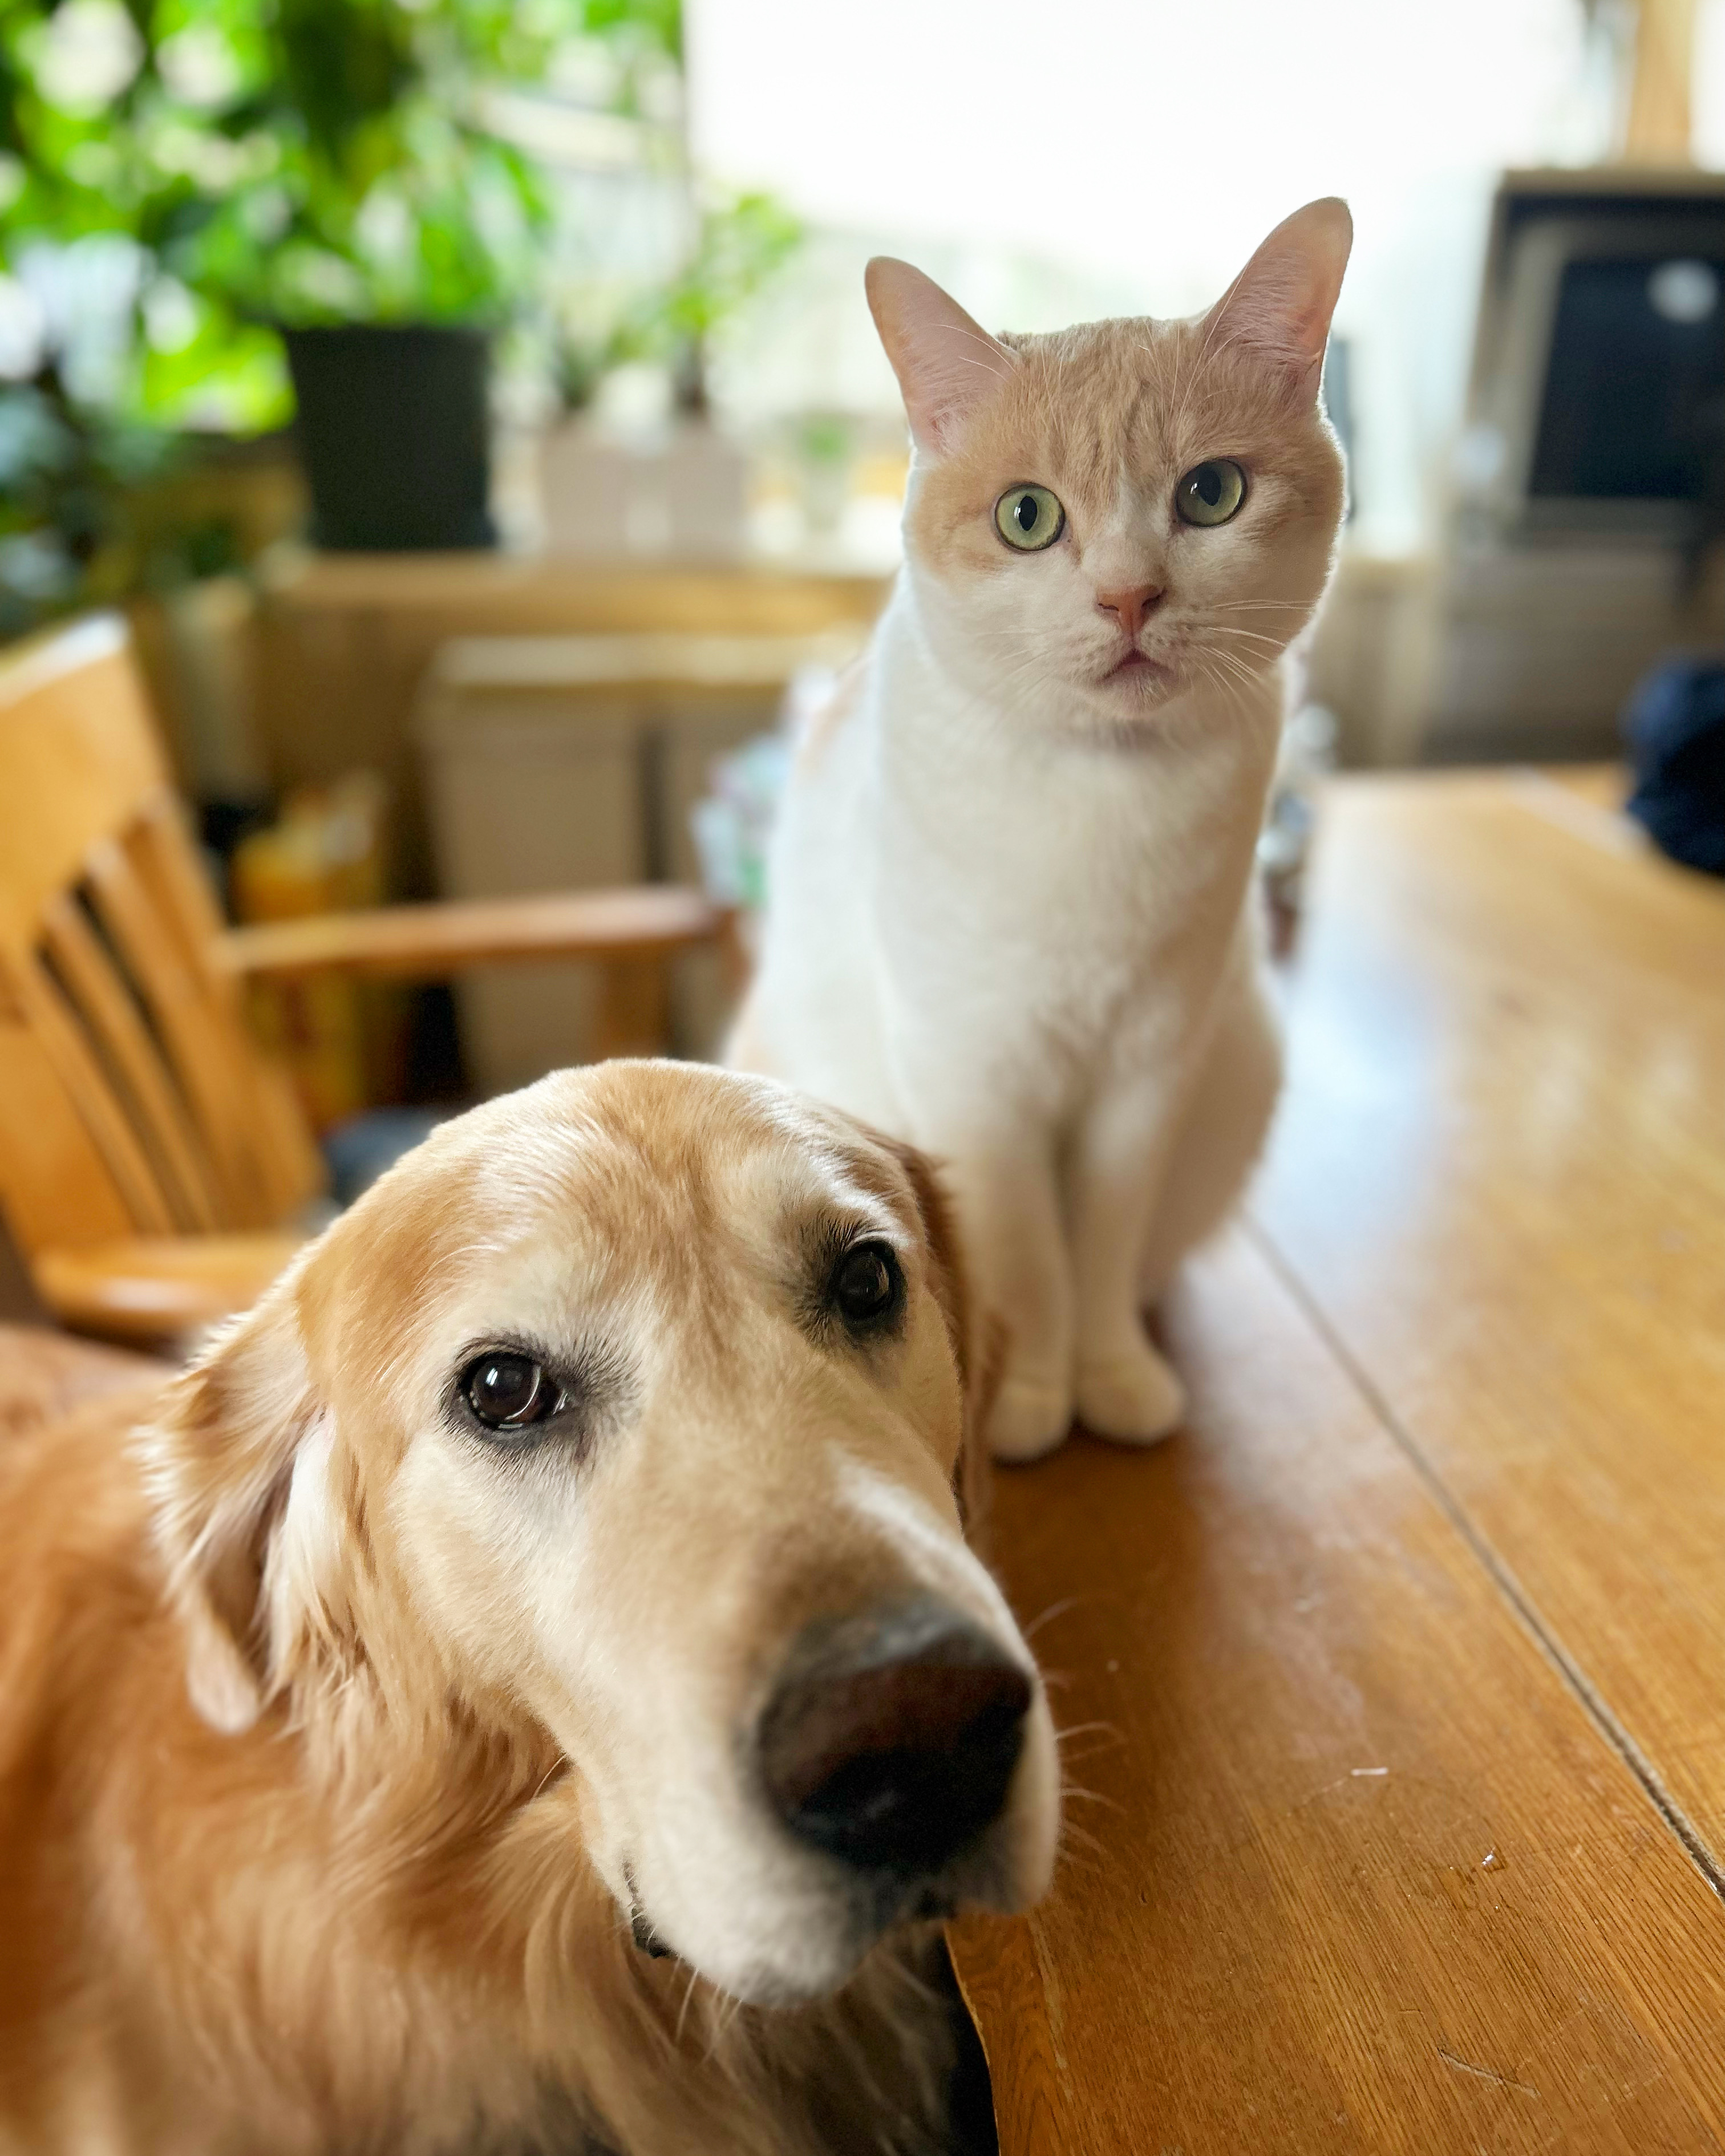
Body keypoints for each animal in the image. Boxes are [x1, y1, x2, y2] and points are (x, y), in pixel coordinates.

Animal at [728, 202, 1345, 1466]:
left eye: (1210, 493)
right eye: (1028, 518)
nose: (1128, 597)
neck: (1100, 801)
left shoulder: (1146, 1075)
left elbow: (1098, 1252)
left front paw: (1109, 1378)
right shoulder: (978, 1080)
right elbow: (1025, 1259)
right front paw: (1026, 1398)